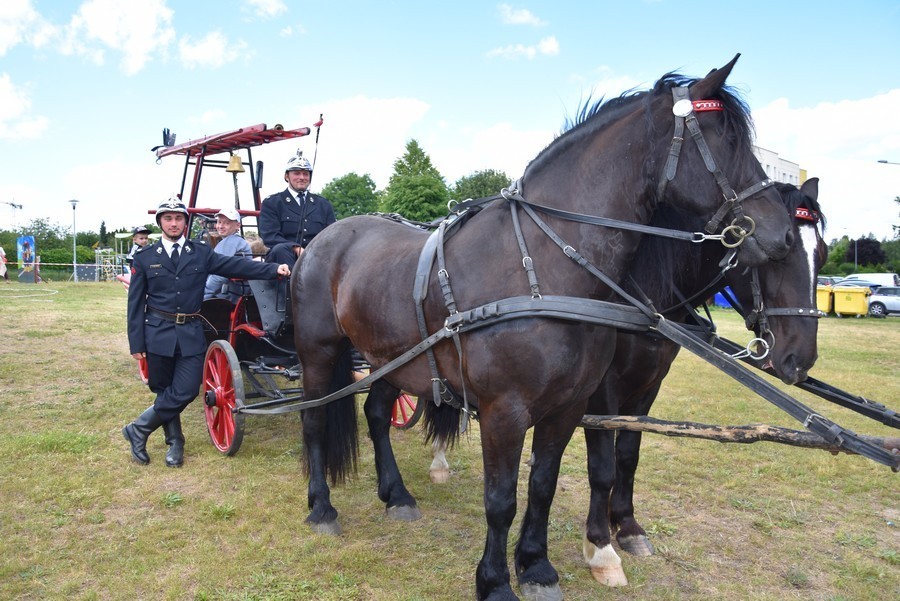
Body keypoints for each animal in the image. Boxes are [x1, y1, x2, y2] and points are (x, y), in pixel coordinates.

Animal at [292, 54, 792, 596]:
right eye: (726, 139)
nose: (782, 233)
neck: (543, 269)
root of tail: (324, 238)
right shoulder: (503, 412)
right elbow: (501, 499)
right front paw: (493, 581)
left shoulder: (568, 407)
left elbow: (544, 485)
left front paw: (535, 565)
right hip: (319, 352)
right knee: (314, 421)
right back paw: (321, 507)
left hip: (390, 360)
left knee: (377, 415)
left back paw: (397, 495)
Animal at [580, 179, 828, 584]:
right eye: (779, 254)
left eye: (821, 254)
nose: (801, 360)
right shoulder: (603, 391)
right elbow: (602, 467)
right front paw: (600, 545)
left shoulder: (648, 385)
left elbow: (628, 455)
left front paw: (628, 526)